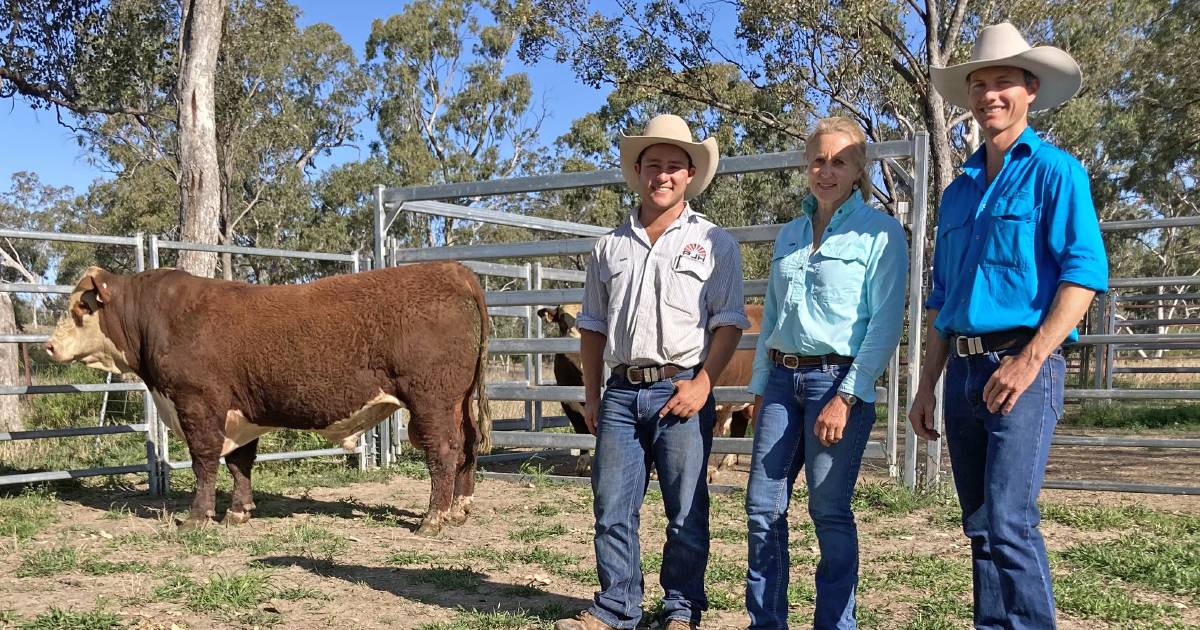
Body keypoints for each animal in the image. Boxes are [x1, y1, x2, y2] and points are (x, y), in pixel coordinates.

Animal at [44, 262, 489, 532]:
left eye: (81, 306)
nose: (48, 347)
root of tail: (452, 269)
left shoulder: (197, 403)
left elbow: (204, 462)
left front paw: (196, 518)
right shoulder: (240, 412)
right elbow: (240, 463)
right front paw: (238, 512)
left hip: (430, 400)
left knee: (443, 452)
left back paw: (433, 518)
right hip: (459, 401)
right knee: (468, 447)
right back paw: (460, 509)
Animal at [540, 302, 763, 480]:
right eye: (562, 318)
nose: (575, 334)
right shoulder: (569, 403)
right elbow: (581, 430)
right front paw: (583, 464)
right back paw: (728, 460)